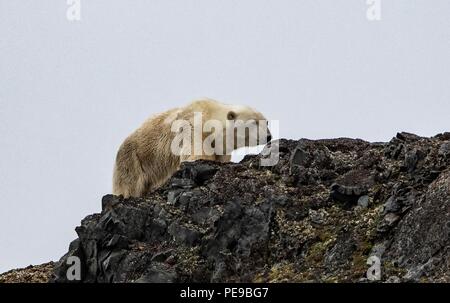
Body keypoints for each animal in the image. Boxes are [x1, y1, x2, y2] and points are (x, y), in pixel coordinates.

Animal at [112, 98, 270, 198]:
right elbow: (195, 155)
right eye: (254, 122)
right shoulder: (192, 128)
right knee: (130, 183)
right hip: (132, 160)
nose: (269, 136)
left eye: (266, 121)